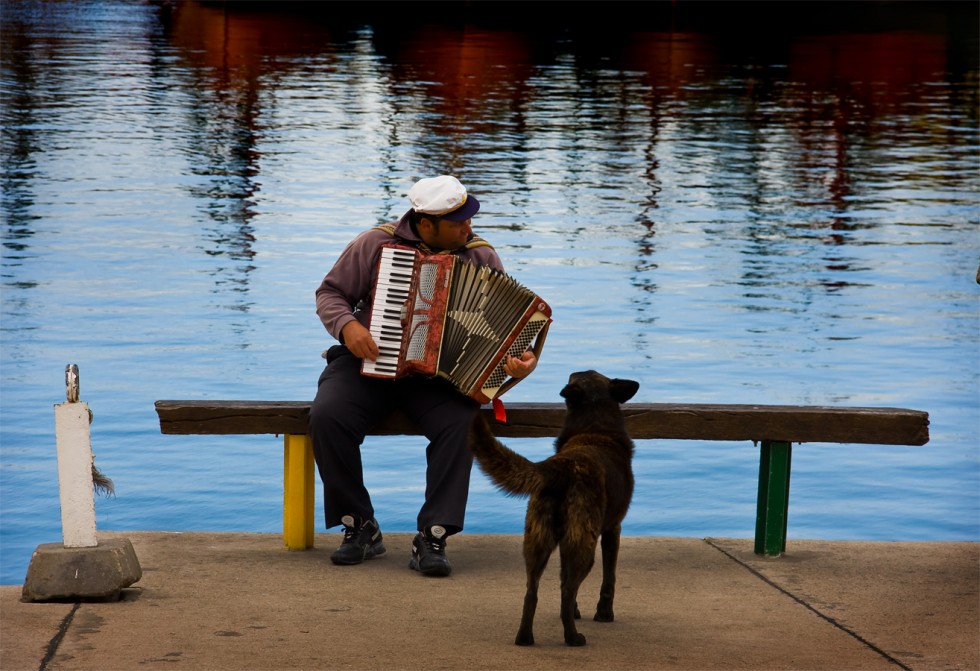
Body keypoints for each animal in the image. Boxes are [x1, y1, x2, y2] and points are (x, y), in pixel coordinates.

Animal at [468, 370, 640, 648]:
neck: (594, 427)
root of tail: (561, 468)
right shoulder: (613, 529)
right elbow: (608, 577)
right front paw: (604, 613)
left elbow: (561, 578)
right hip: (583, 545)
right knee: (567, 592)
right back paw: (573, 637)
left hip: (538, 540)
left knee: (532, 592)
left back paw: (525, 638)